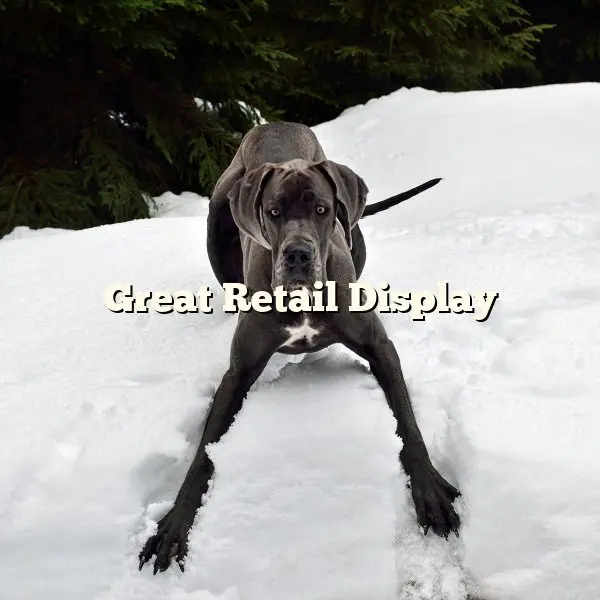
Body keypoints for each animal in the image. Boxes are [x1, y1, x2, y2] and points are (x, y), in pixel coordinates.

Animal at [138, 121, 460, 574]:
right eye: (274, 212)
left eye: (322, 210)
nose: (297, 255)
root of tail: (275, 124)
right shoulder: (237, 373)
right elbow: (202, 454)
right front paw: (174, 525)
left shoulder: (380, 347)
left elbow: (409, 424)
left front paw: (430, 491)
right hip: (216, 223)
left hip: (356, 236)